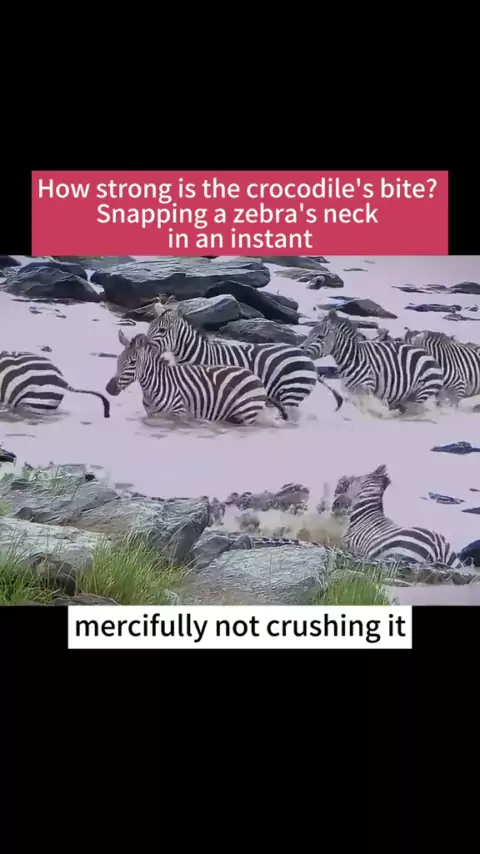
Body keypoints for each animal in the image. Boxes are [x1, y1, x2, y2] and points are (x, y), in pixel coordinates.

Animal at [105, 330, 289, 425]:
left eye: (132, 362)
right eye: (118, 360)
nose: (109, 388)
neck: (155, 386)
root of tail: (256, 378)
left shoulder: (178, 414)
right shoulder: (152, 415)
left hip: (247, 413)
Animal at [144, 304, 343, 416]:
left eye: (161, 331)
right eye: (149, 328)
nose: (143, 346)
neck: (200, 356)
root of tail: (305, 357)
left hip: (291, 393)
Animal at [301, 310, 444, 412]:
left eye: (320, 337)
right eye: (309, 334)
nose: (301, 350)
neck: (353, 358)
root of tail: (430, 356)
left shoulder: (366, 388)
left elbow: (365, 408)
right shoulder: (351, 390)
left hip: (423, 392)